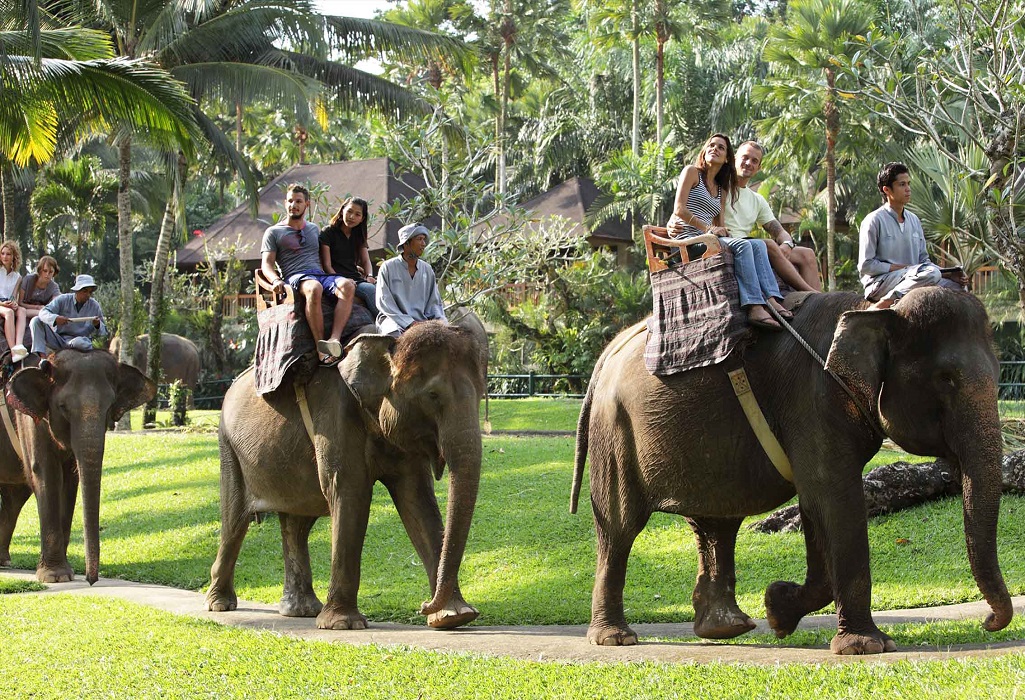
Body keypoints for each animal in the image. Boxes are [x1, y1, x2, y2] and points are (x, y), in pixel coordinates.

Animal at [0, 351, 156, 582]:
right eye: (63, 407)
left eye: (109, 406)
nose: (91, 580)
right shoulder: (28, 419)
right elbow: (46, 474)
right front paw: (55, 576)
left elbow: (70, 481)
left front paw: (65, 573)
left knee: (14, 497)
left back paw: (2, 561)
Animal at [206, 315, 487, 631]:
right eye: (433, 395)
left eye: (482, 393)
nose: (422, 606)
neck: (387, 344)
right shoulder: (335, 415)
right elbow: (349, 491)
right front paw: (342, 624)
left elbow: (417, 500)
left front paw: (455, 616)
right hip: (228, 446)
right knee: (234, 519)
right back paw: (220, 604)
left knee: (297, 522)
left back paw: (301, 610)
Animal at [571, 287, 1013, 655]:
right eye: (947, 379)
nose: (989, 622)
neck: (874, 309)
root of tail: (607, 352)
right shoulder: (813, 400)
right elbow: (836, 500)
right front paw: (866, 646)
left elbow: (817, 506)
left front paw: (777, 611)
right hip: (615, 431)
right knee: (619, 527)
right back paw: (616, 638)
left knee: (716, 522)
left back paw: (726, 629)